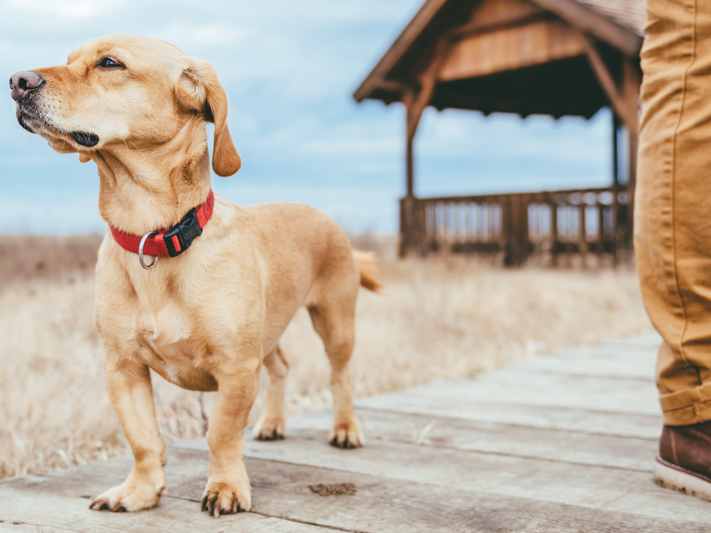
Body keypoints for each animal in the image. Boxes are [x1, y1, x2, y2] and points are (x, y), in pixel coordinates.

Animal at [8, 35, 382, 516]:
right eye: (69, 59)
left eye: (110, 63)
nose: (17, 81)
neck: (153, 236)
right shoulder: (122, 367)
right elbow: (143, 439)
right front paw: (141, 489)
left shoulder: (237, 367)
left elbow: (221, 434)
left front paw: (225, 487)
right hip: (269, 333)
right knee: (281, 366)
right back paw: (273, 422)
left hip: (335, 325)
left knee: (341, 377)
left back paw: (346, 428)